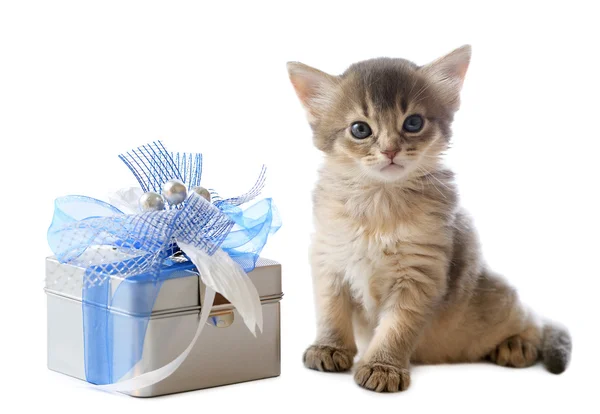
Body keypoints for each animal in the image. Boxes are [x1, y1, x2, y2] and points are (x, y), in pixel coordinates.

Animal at [286, 45, 572, 392]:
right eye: (360, 129)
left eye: (413, 123)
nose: (390, 150)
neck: (380, 203)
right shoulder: (329, 261)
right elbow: (331, 313)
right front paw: (328, 348)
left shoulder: (420, 274)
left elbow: (396, 328)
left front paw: (383, 367)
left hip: (495, 302)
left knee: (534, 321)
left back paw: (517, 344)